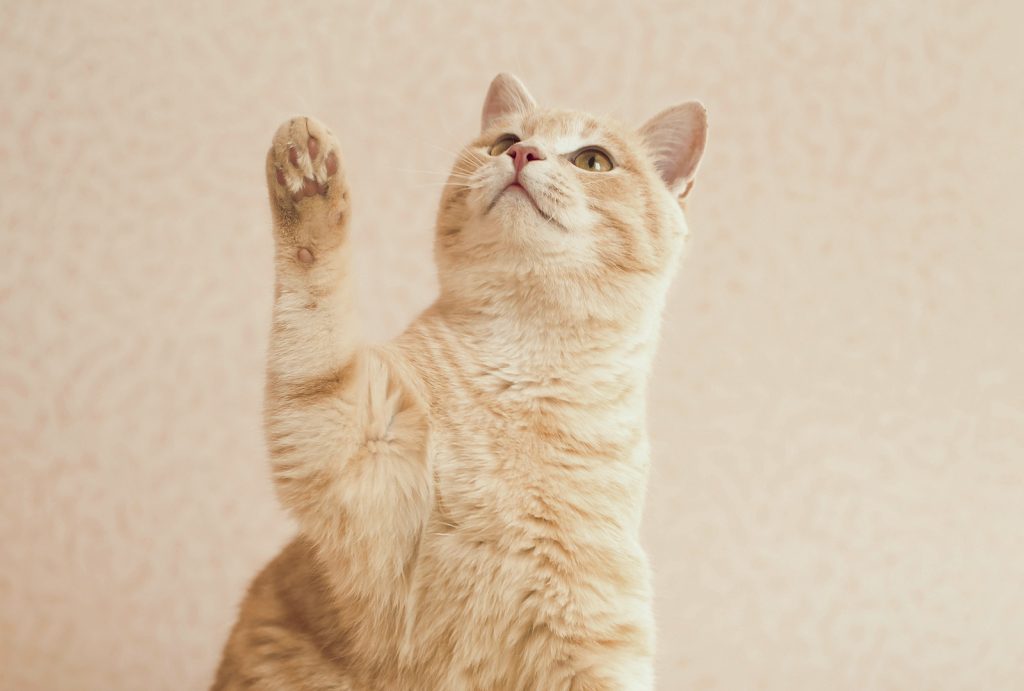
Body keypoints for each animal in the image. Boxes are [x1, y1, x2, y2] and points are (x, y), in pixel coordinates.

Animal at [211, 73, 708, 687]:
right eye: (505, 141)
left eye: (593, 160)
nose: (523, 154)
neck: (523, 370)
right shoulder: (355, 449)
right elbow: (313, 303)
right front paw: (307, 180)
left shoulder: (596, 639)